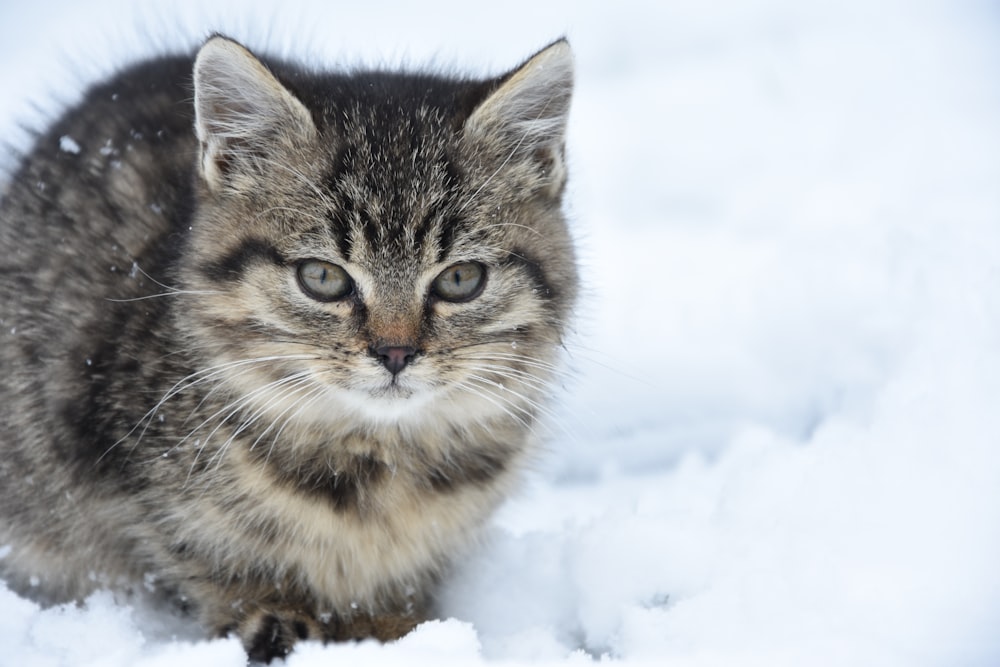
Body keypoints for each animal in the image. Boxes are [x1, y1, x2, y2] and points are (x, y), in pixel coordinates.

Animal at [0, 34, 580, 660]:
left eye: (460, 279)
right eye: (322, 277)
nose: (395, 353)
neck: (378, 465)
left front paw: (395, 624)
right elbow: (192, 550)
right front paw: (273, 612)